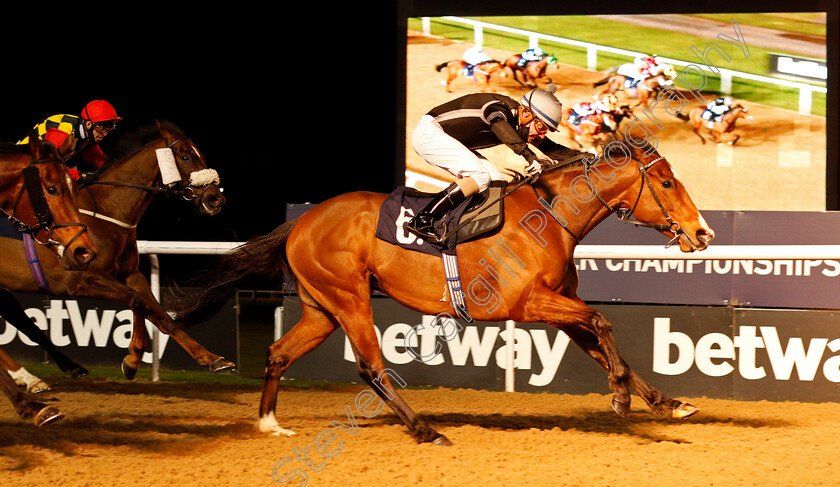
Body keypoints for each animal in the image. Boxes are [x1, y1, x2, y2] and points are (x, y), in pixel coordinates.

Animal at [0, 122, 231, 392]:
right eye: (185, 156)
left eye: (201, 155)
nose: (216, 198)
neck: (107, 211)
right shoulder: (80, 279)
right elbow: (137, 302)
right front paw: (133, 359)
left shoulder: (130, 274)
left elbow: (161, 314)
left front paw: (213, 359)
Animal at [169, 140, 716, 446]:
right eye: (667, 182)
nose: (703, 232)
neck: (550, 217)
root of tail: (301, 221)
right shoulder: (526, 303)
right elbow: (602, 323)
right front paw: (621, 398)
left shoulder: (557, 308)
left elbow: (604, 342)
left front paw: (667, 404)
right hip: (349, 298)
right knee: (371, 368)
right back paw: (425, 430)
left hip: (320, 308)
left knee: (280, 352)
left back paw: (269, 424)